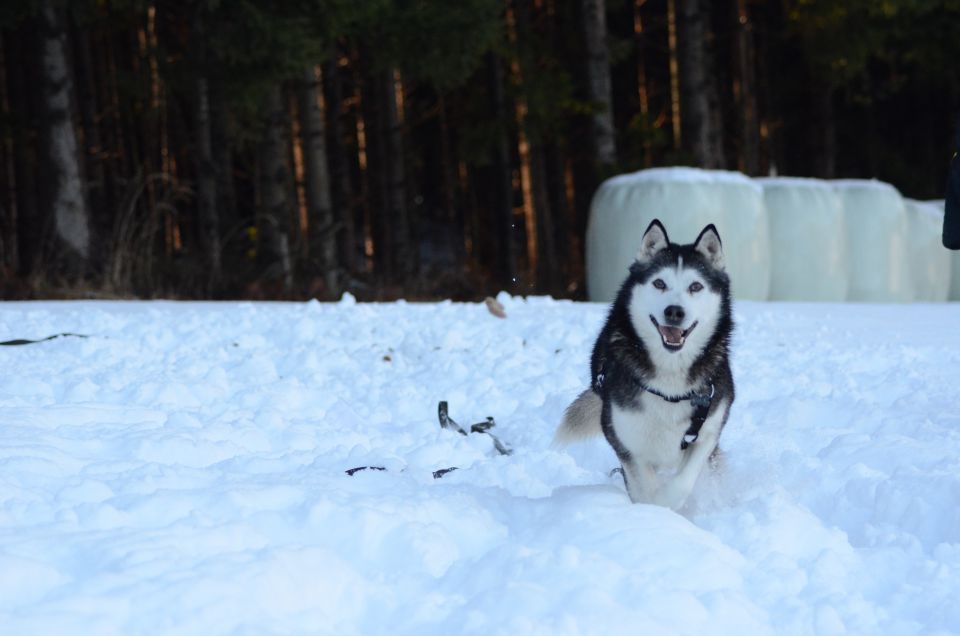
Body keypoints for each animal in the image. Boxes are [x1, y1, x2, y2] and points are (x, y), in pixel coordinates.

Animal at [556, 221, 736, 510]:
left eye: (696, 286)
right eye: (659, 283)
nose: (674, 311)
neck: (670, 379)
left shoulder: (709, 429)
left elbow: (683, 481)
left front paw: (670, 504)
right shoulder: (624, 439)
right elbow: (644, 487)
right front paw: (654, 512)